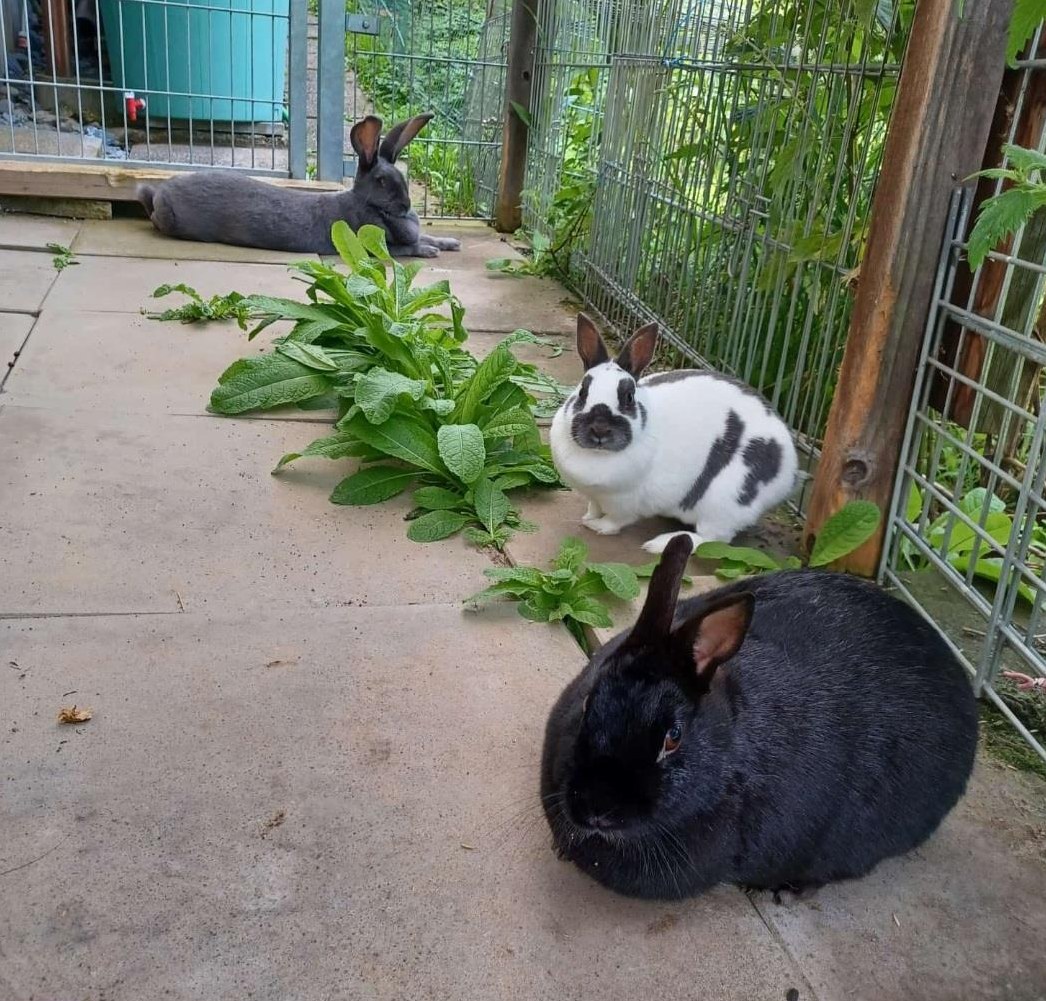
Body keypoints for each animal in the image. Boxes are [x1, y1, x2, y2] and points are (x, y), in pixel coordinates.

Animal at [137, 114, 462, 259]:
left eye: (402, 179)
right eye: (382, 181)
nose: (406, 206)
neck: (366, 204)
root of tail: (159, 193)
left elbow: (428, 234)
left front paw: (450, 242)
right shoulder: (377, 244)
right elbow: (407, 247)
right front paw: (430, 251)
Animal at [549, 313, 799, 554]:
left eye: (629, 397)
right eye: (582, 392)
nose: (599, 429)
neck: (598, 456)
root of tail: (789, 473)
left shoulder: (624, 504)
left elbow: (615, 521)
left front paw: (596, 526)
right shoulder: (595, 497)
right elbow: (593, 507)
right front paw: (588, 517)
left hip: (726, 502)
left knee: (711, 539)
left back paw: (658, 544)